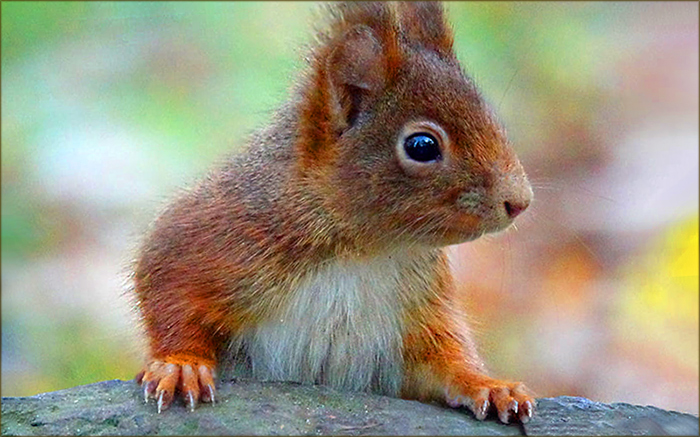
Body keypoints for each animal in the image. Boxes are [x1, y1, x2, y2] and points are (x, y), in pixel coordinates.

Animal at [133, 1, 535, 424]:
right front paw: (181, 364)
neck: (364, 251)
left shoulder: (421, 309)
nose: (519, 201)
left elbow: (445, 358)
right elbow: (166, 283)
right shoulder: (216, 232)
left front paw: (489, 385)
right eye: (422, 146)